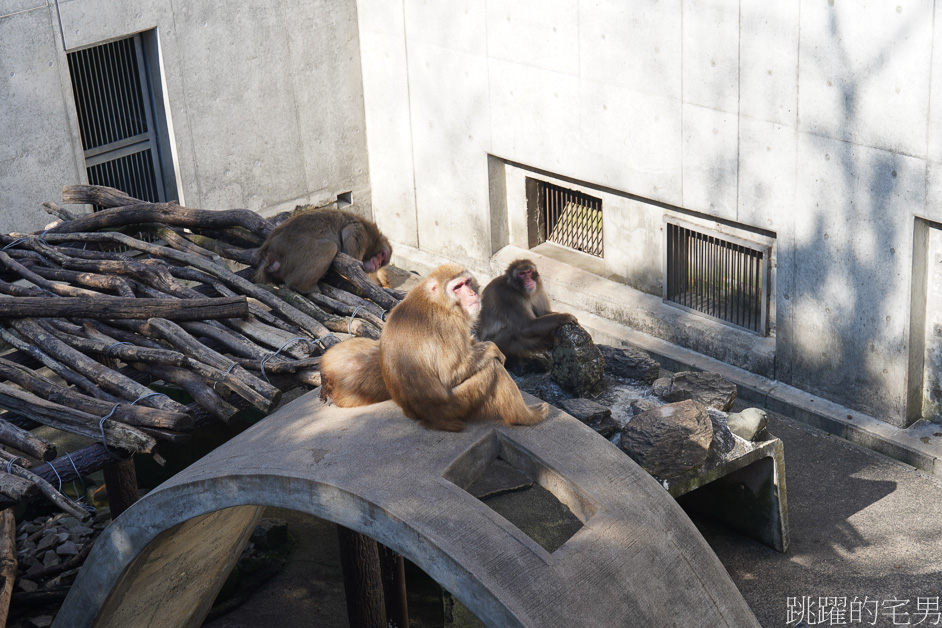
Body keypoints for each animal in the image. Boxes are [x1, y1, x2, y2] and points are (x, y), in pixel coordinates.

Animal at [253, 209, 392, 292]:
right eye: (382, 255)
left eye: (382, 261)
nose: (378, 264)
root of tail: (269, 250)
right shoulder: (359, 233)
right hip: (293, 248)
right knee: (330, 247)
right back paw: (302, 286)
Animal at [380, 264, 548, 432]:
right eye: (457, 287)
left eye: (467, 282)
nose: (472, 293)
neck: (439, 301)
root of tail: (430, 420)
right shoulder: (449, 324)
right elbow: (450, 374)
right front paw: (493, 348)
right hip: (455, 405)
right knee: (493, 368)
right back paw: (525, 417)